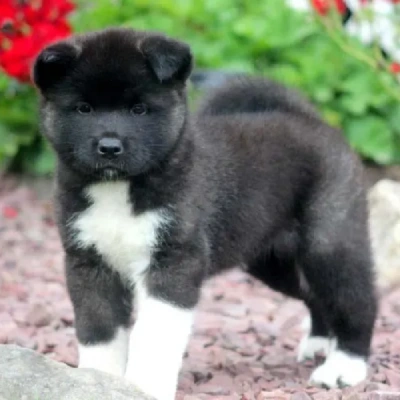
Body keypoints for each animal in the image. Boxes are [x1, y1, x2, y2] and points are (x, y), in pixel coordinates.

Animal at [32, 28, 376, 400]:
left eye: (139, 109)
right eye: (83, 108)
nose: (109, 147)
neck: (120, 189)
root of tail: (309, 118)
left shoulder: (174, 262)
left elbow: (155, 334)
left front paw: (146, 386)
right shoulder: (89, 263)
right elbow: (99, 331)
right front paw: (96, 381)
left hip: (329, 242)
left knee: (356, 300)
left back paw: (344, 366)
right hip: (270, 262)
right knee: (314, 295)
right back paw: (318, 343)